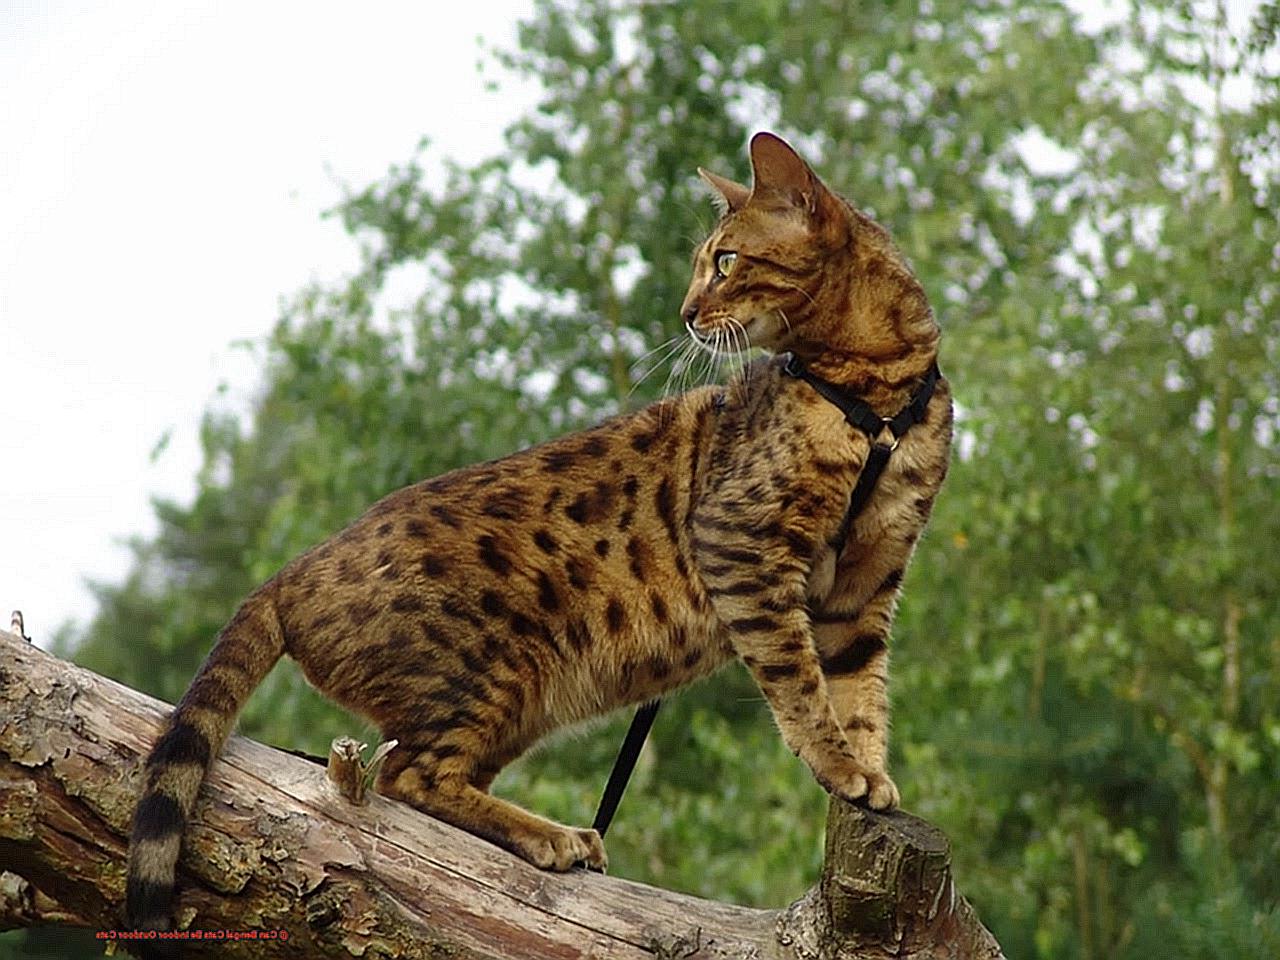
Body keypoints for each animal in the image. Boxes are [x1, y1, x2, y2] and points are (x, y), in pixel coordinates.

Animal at [127, 131, 952, 936]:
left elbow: (859, 688)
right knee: (407, 775)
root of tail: (289, 575)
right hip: (491, 670)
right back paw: (554, 834)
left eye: (725, 261)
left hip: (511, 704)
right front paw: (841, 767)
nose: (685, 312)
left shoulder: (869, 580)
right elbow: (800, 681)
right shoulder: (743, 542)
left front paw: (869, 776)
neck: (877, 394)